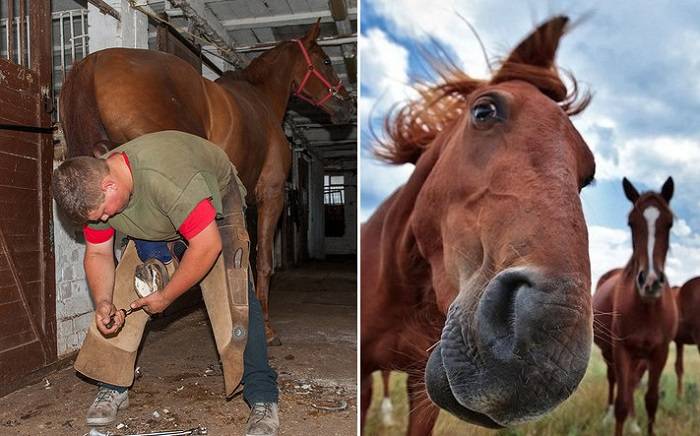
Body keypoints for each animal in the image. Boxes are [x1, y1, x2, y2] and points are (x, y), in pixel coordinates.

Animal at [58, 22, 356, 346]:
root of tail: (91, 63)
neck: (261, 99)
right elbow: (263, 260)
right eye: (326, 62)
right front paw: (266, 328)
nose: (348, 107)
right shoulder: (272, 193)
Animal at [592, 177, 680, 436]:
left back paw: (633, 421)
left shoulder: (660, 352)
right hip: (609, 352)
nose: (650, 282)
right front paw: (617, 417)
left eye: (669, 223)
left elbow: (651, 401)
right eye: (631, 223)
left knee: (629, 383)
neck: (647, 308)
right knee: (614, 380)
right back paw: (608, 415)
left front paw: (637, 422)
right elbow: (621, 401)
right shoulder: (621, 350)